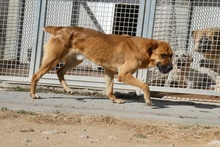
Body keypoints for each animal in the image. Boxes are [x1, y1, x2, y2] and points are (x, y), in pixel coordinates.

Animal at [29, 26, 174, 104]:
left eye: (171, 55)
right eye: (163, 55)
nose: (171, 68)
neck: (141, 48)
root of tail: (60, 29)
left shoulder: (109, 71)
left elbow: (109, 89)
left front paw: (114, 99)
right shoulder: (123, 75)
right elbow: (145, 85)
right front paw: (148, 100)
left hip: (76, 60)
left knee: (59, 72)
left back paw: (67, 89)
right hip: (52, 60)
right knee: (36, 76)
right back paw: (33, 94)